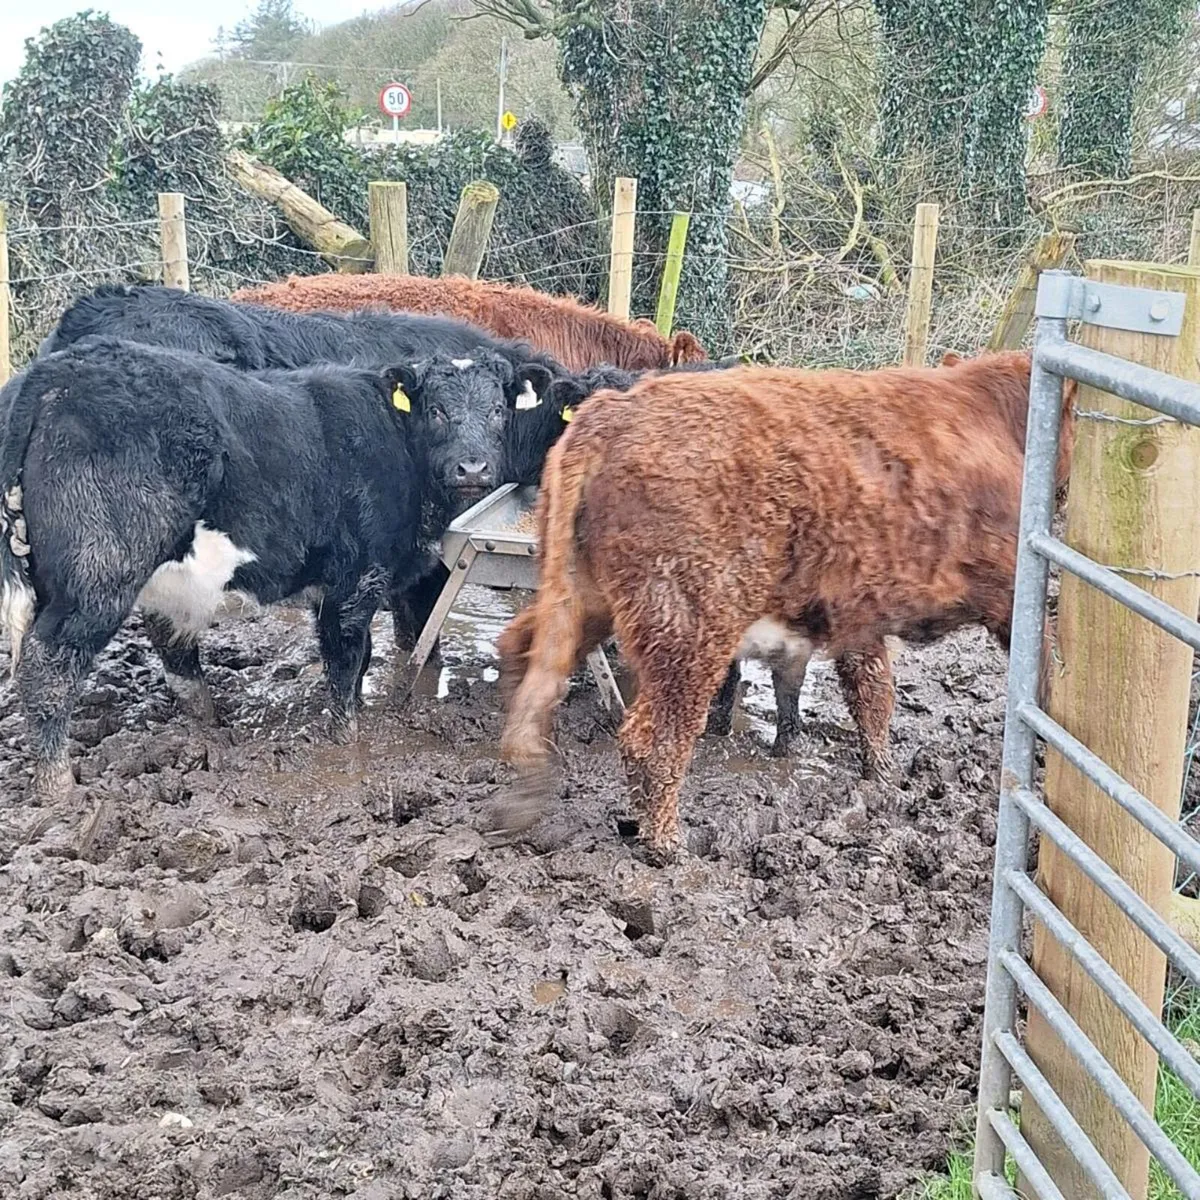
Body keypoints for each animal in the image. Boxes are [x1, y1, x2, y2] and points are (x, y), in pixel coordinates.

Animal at [0, 337, 553, 796]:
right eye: (436, 410)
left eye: (498, 409)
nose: (473, 467)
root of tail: (60, 368)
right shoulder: (356, 579)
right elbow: (346, 662)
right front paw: (347, 743)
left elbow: (372, 658)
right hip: (97, 573)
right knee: (49, 668)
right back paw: (58, 788)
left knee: (175, 659)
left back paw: (208, 729)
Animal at [493, 350, 1075, 860]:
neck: (996, 421)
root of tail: (612, 411)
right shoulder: (1004, 592)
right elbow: (1034, 672)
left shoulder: (852, 608)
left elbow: (852, 691)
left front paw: (864, 770)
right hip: (689, 627)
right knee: (653, 737)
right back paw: (666, 844)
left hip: (583, 598)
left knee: (523, 655)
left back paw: (523, 794)